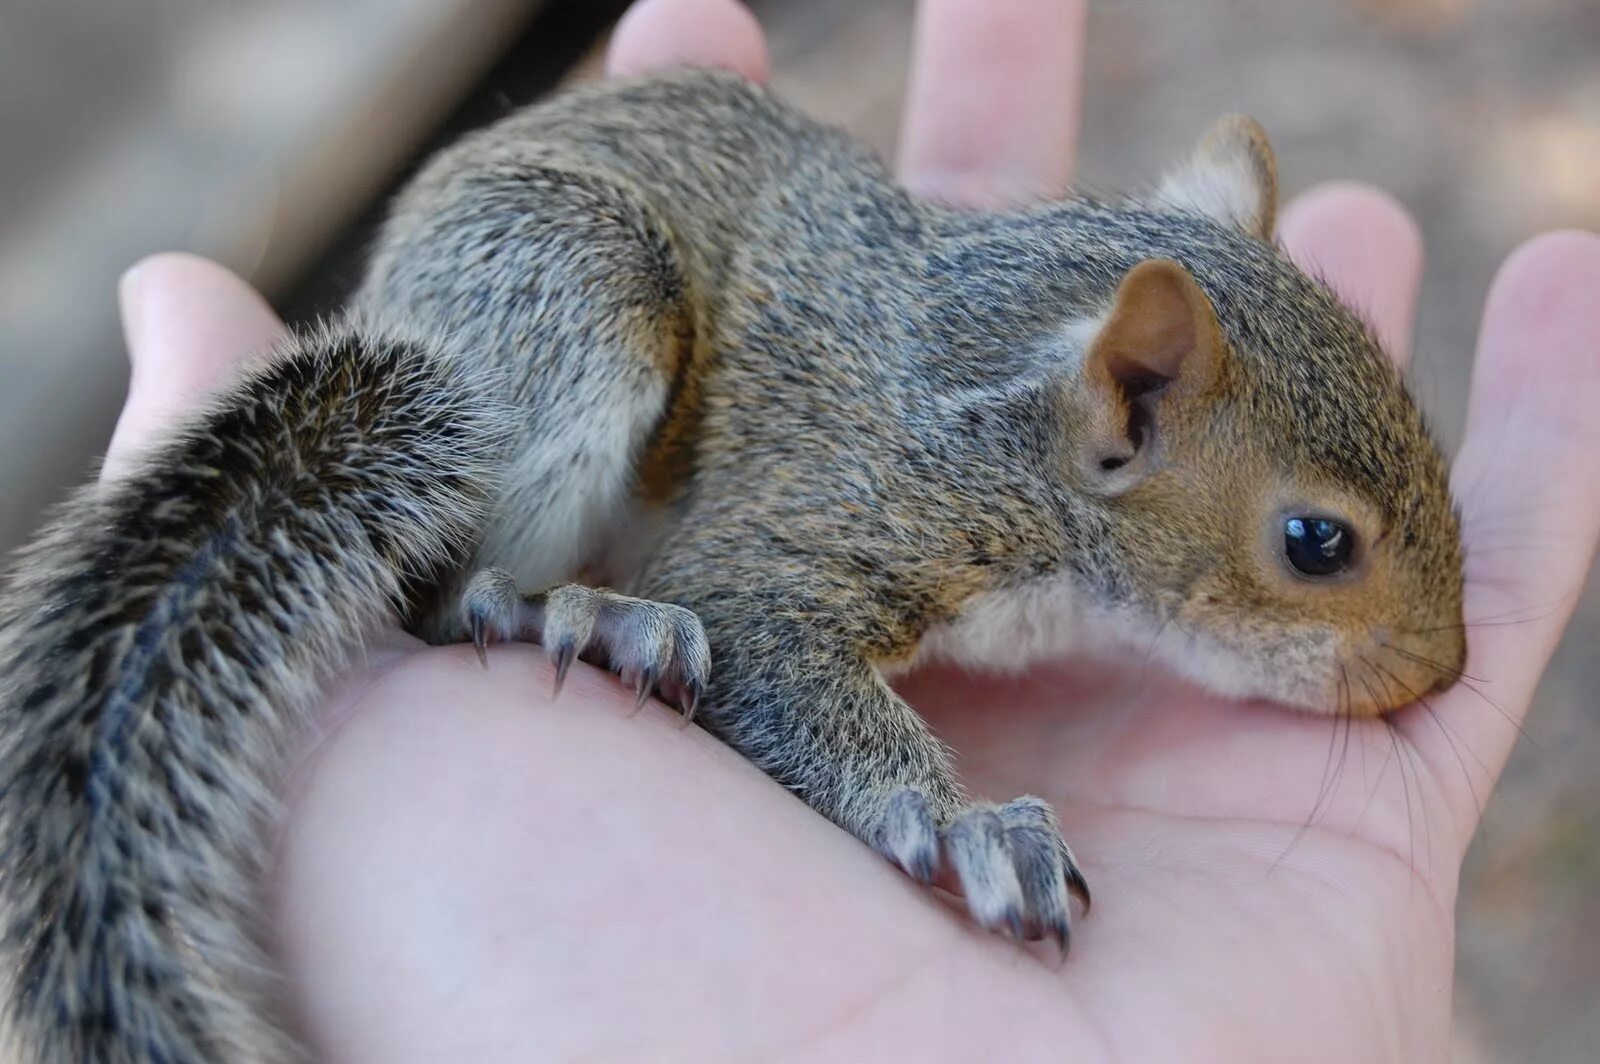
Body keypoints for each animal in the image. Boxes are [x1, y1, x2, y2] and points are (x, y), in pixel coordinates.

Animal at [0, 68, 1465, 1062]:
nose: (1447, 669)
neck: (1006, 421)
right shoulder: (831, 510)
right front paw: (971, 827)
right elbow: (755, 622)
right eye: (1316, 542)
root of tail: (401, 312)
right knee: (444, 595)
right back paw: (589, 617)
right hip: (576, 296)